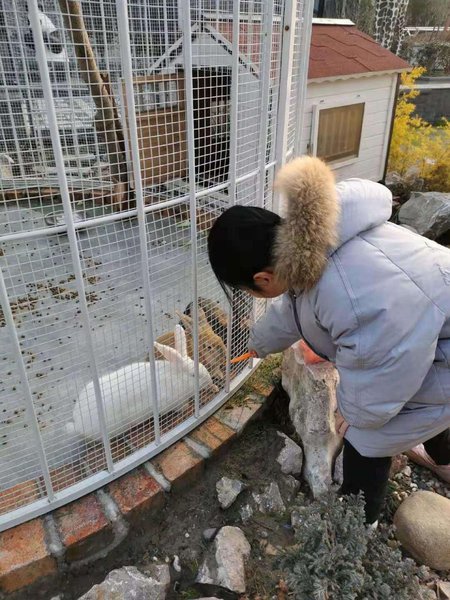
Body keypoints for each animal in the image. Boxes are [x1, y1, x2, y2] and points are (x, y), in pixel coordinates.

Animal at [66, 325, 215, 442]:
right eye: (194, 375)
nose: (210, 380)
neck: (177, 377)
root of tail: (77, 423)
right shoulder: (171, 402)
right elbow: (181, 407)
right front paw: (187, 407)